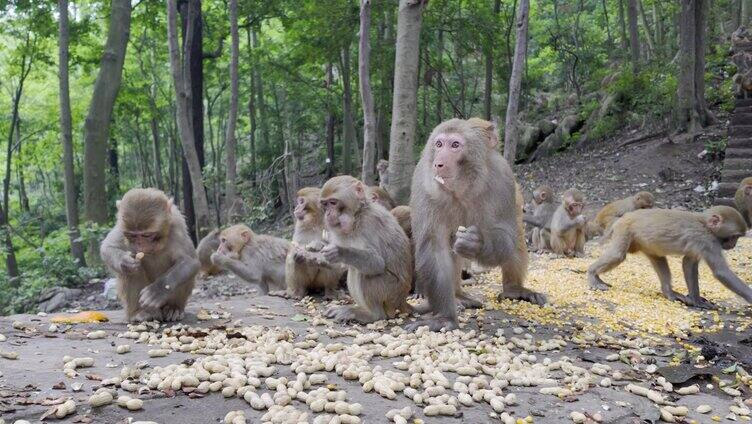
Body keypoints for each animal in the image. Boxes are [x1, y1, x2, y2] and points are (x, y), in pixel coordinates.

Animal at [100, 187, 200, 322]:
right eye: (132, 235)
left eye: (147, 235)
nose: (140, 244)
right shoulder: (120, 227)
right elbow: (107, 247)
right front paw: (125, 262)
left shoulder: (177, 227)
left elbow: (190, 261)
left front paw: (157, 290)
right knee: (132, 272)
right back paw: (139, 312)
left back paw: (173, 308)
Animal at [318, 176, 412, 324]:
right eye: (325, 204)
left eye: (333, 203)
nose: (327, 213)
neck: (358, 215)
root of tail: (402, 300)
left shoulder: (369, 224)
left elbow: (377, 263)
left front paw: (339, 251)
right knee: (354, 268)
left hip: (389, 292)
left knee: (362, 273)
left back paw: (372, 315)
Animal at [406, 117, 548, 332]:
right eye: (439, 144)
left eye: (455, 145)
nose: (439, 163)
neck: (462, 186)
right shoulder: (425, 184)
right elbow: (434, 246)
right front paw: (444, 317)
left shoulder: (502, 179)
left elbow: (506, 234)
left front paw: (477, 243)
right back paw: (457, 296)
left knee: (517, 237)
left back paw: (513, 289)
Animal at [588, 206, 752, 308]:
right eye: (734, 237)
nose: (733, 244)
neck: (705, 224)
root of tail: (624, 218)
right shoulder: (708, 241)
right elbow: (721, 272)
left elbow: (688, 263)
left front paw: (696, 299)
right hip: (625, 230)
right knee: (617, 255)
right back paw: (592, 274)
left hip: (644, 242)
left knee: (659, 258)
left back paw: (668, 292)